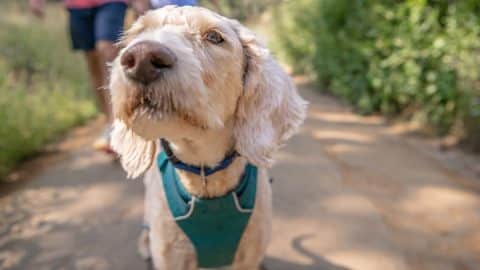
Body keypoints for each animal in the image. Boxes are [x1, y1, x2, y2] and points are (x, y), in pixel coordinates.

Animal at [109, 5, 308, 268]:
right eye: (139, 33)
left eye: (214, 37)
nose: (141, 59)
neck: (206, 177)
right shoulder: (171, 256)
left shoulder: (250, 254)